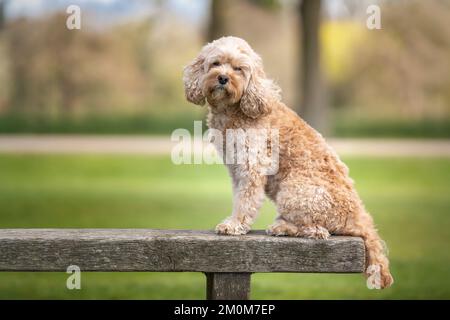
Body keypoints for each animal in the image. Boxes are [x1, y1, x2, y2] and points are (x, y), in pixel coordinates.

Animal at [183, 36, 394, 288]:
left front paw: (234, 225)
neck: (236, 108)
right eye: (215, 64)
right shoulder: (236, 170)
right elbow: (239, 197)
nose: (223, 78)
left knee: (317, 230)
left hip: (294, 191)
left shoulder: (252, 166)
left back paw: (283, 226)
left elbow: (246, 200)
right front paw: (234, 222)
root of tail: (359, 217)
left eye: (238, 69)